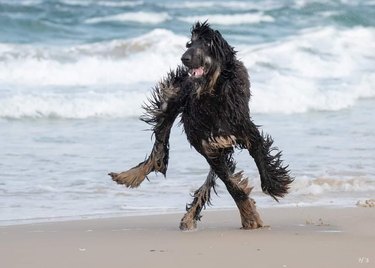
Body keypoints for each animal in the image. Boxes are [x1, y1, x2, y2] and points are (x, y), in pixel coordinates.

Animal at [108, 21, 294, 230]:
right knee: (159, 148)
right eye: (190, 43)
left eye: (207, 44)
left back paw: (189, 215)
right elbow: (231, 185)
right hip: (172, 100)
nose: (184, 58)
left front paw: (273, 186)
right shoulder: (207, 145)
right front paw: (249, 216)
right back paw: (130, 176)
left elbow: (259, 155)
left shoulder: (243, 130)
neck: (212, 94)